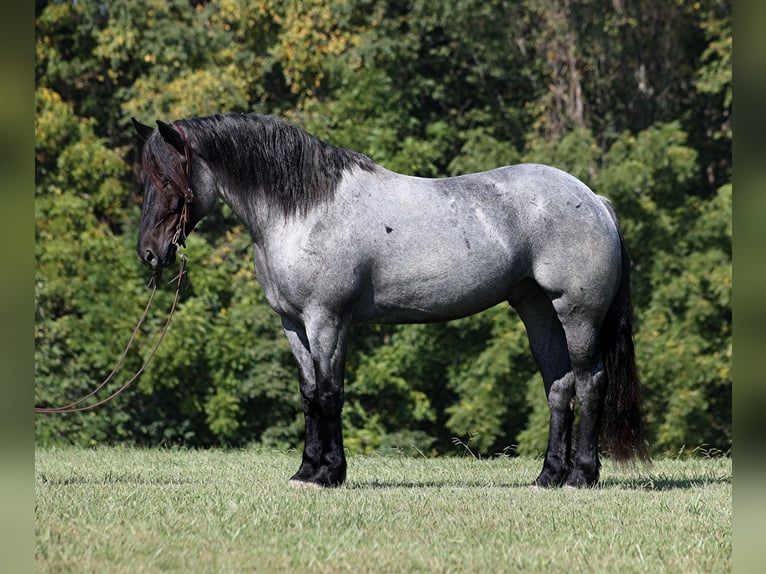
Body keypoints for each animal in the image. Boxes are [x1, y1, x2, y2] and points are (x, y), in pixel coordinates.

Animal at [130, 113, 648, 490]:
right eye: (147, 179)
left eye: (168, 179)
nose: (150, 253)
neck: (304, 210)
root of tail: (595, 200)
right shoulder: (293, 325)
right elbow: (308, 395)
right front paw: (306, 470)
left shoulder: (327, 320)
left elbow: (329, 393)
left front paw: (329, 474)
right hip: (537, 310)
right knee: (559, 387)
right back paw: (548, 477)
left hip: (577, 315)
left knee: (590, 383)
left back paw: (582, 476)